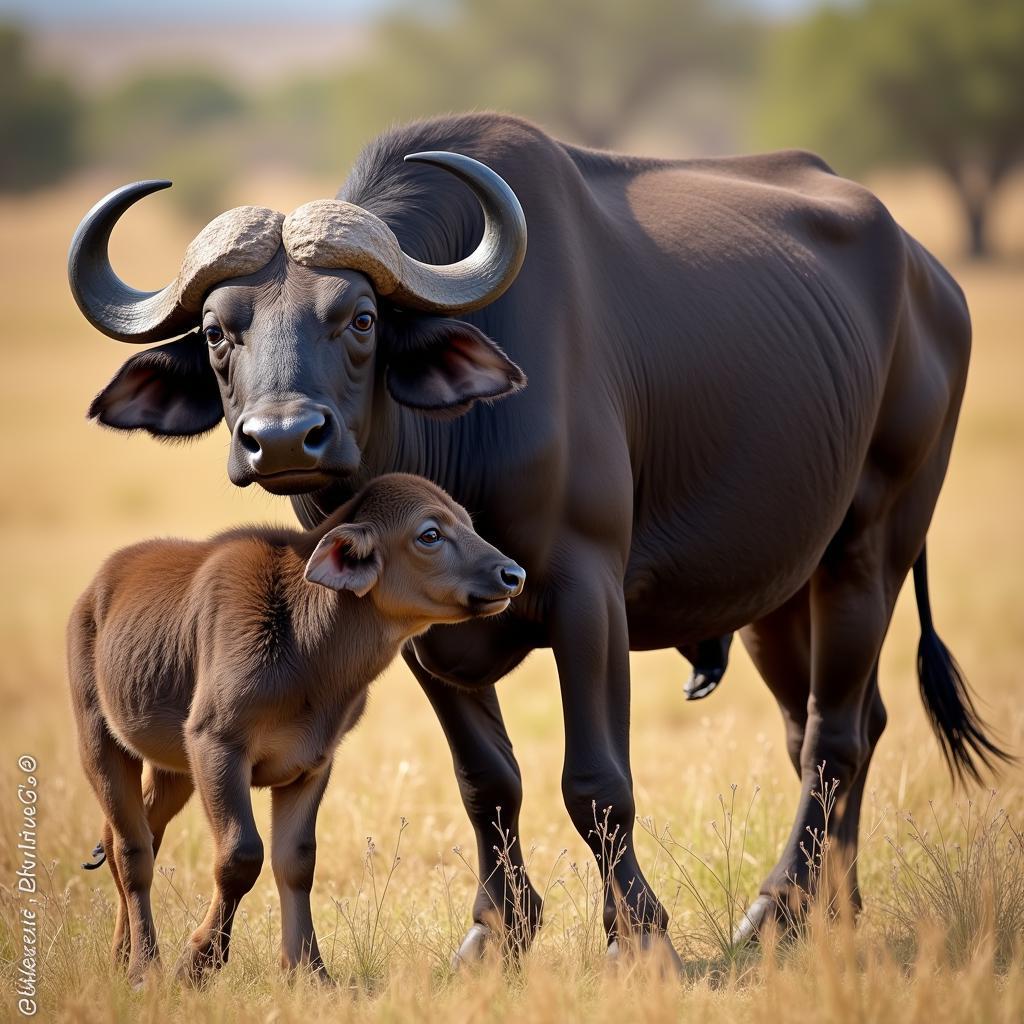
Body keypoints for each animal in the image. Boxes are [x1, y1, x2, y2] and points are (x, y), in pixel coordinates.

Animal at [68, 471, 524, 983]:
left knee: (130, 836)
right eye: (430, 534)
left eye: (468, 522)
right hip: (100, 742)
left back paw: (120, 955)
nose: (513, 574)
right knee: (133, 850)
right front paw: (199, 961)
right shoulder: (217, 744)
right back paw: (145, 966)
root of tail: (94, 594)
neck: (307, 647)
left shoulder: (311, 762)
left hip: (173, 769)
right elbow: (240, 855)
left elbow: (297, 861)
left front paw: (309, 970)